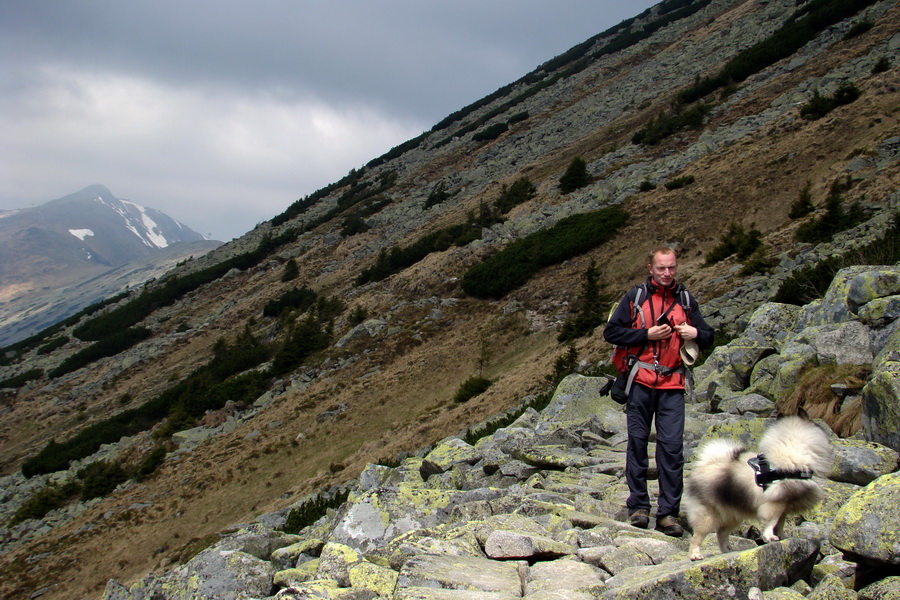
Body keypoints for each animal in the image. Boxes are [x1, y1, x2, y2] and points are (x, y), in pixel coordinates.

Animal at [684, 414, 832, 560]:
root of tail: (705, 465)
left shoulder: (784, 504)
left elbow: (780, 524)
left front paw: (782, 537)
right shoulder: (774, 503)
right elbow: (771, 522)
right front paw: (769, 536)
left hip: (732, 514)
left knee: (721, 533)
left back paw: (726, 550)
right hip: (709, 515)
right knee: (698, 535)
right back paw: (695, 555)